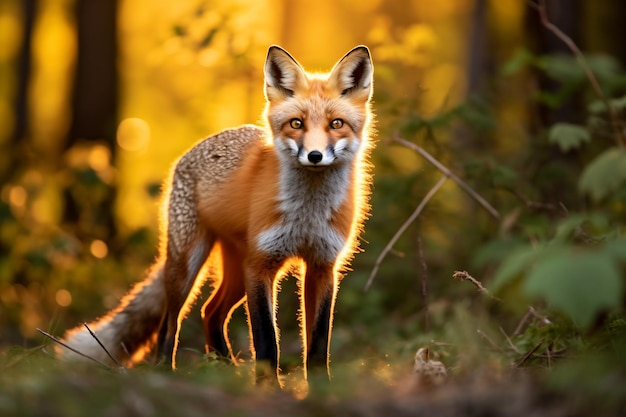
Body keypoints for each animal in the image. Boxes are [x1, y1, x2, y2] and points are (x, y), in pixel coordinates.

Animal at [61, 44, 376, 380]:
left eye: (336, 124)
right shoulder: (262, 265)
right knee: (169, 325)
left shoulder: (322, 266)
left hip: (236, 272)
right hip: (188, 266)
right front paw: (267, 387)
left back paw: (226, 368)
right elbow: (266, 341)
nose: (314, 155)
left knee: (209, 312)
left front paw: (319, 386)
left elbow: (317, 345)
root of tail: (197, 146)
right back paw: (167, 371)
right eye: (296, 124)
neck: (307, 213)